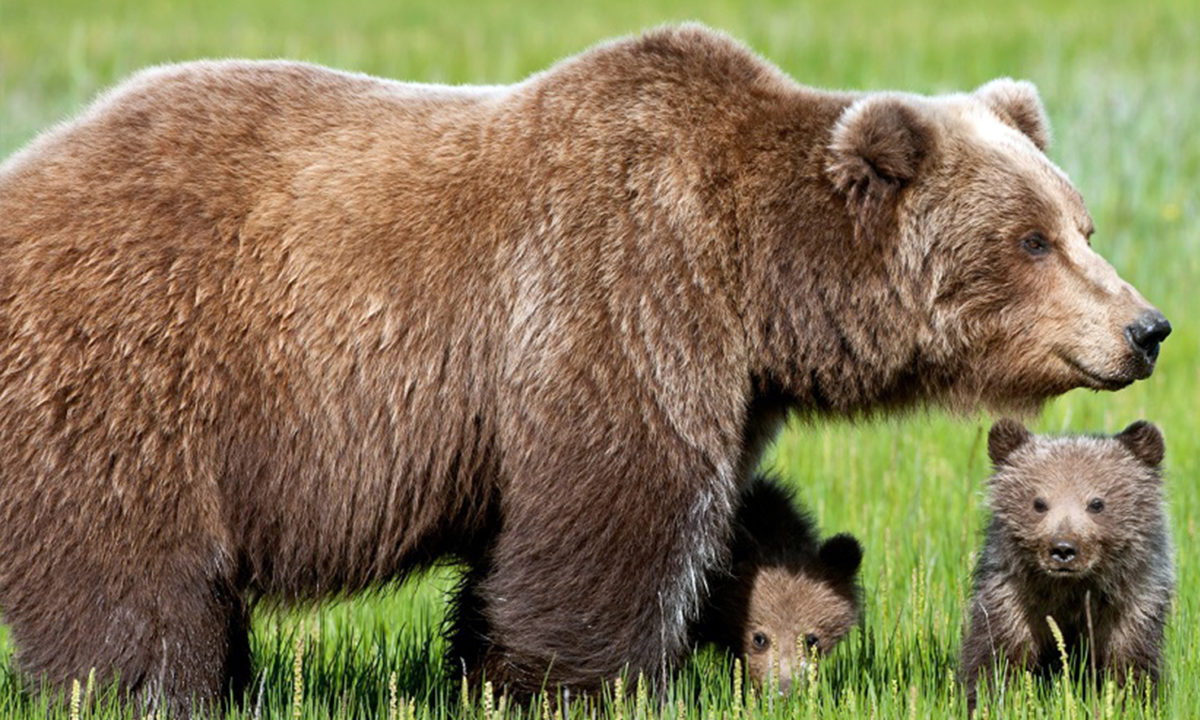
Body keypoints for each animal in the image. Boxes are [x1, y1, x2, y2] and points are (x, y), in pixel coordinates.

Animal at [0, 22, 1166, 715]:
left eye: (1081, 222)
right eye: (1030, 240)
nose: (1147, 327)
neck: (757, 281)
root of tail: (27, 171)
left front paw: (484, 667)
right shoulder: (617, 300)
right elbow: (611, 522)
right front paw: (577, 682)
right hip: (136, 375)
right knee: (130, 578)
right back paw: (152, 689)